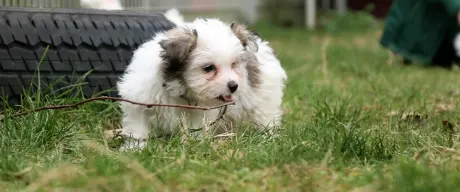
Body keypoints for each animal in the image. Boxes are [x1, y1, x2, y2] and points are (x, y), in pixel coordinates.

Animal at [116, 18, 288, 150]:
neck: (179, 89)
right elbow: (137, 127)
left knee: (266, 117)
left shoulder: (198, 115)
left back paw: (269, 137)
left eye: (233, 65)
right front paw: (134, 148)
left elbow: (194, 129)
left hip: (265, 99)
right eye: (208, 68)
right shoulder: (139, 103)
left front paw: (192, 146)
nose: (234, 86)